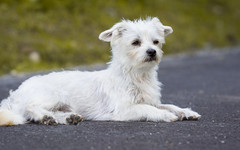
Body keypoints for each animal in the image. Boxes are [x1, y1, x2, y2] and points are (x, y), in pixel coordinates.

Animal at [0, 17, 201, 126]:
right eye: (136, 42)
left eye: (156, 42)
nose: (152, 52)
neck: (137, 75)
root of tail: (15, 93)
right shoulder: (124, 110)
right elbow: (148, 109)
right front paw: (166, 115)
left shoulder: (151, 100)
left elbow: (168, 105)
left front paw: (185, 111)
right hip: (52, 95)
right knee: (30, 107)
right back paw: (45, 117)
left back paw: (65, 118)